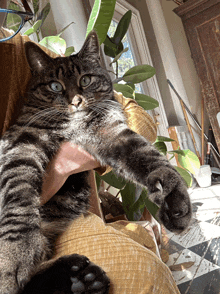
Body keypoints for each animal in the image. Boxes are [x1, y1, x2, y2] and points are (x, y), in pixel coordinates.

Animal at [0, 31, 191, 294]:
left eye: (86, 80)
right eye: (55, 86)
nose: (76, 101)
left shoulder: (110, 132)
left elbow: (148, 157)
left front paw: (174, 200)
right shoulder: (23, 143)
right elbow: (19, 192)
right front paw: (16, 253)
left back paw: (80, 278)